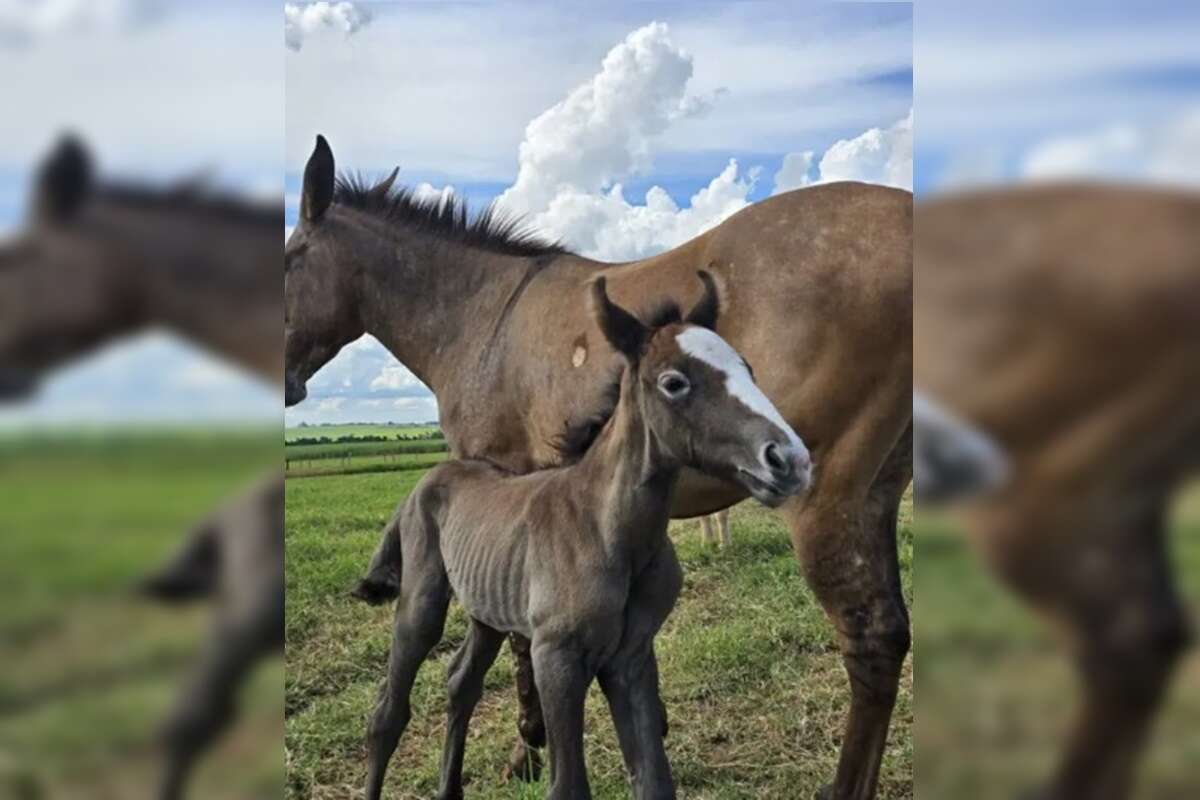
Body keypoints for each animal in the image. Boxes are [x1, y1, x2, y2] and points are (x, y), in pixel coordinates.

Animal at [355, 272, 806, 796]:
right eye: (674, 383)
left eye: (747, 368)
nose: (790, 460)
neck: (608, 531)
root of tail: (424, 483)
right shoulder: (557, 660)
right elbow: (568, 785)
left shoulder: (631, 659)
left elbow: (654, 780)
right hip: (422, 603)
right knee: (387, 711)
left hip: (488, 612)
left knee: (460, 682)